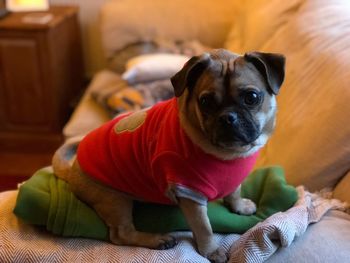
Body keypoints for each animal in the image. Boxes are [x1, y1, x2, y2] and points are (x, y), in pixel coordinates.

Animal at [53, 48, 286, 262]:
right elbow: (204, 227)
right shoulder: (190, 194)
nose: (228, 117)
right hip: (114, 199)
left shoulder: (231, 181)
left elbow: (234, 192)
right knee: (121, 234)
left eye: (252, 97)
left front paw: (239, 206)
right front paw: (211, 250)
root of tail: (72, 169)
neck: (228, 154)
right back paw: (156, 240)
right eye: (205, 102)